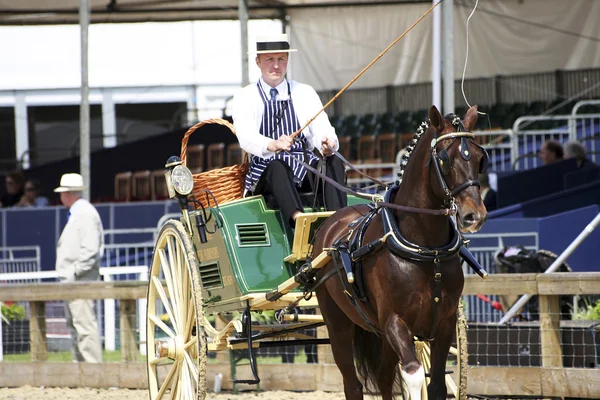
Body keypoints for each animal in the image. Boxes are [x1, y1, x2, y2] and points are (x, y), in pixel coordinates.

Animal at [312, 104, 490, 398]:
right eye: (444, 158)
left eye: (479, 158)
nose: (474, 216)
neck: (428, 250)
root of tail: (331, 221)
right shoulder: (395, 322)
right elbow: (414, 375)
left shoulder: (444, 322)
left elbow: (436, 383)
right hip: (338, 325)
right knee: (352, 383)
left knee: (384, 376)